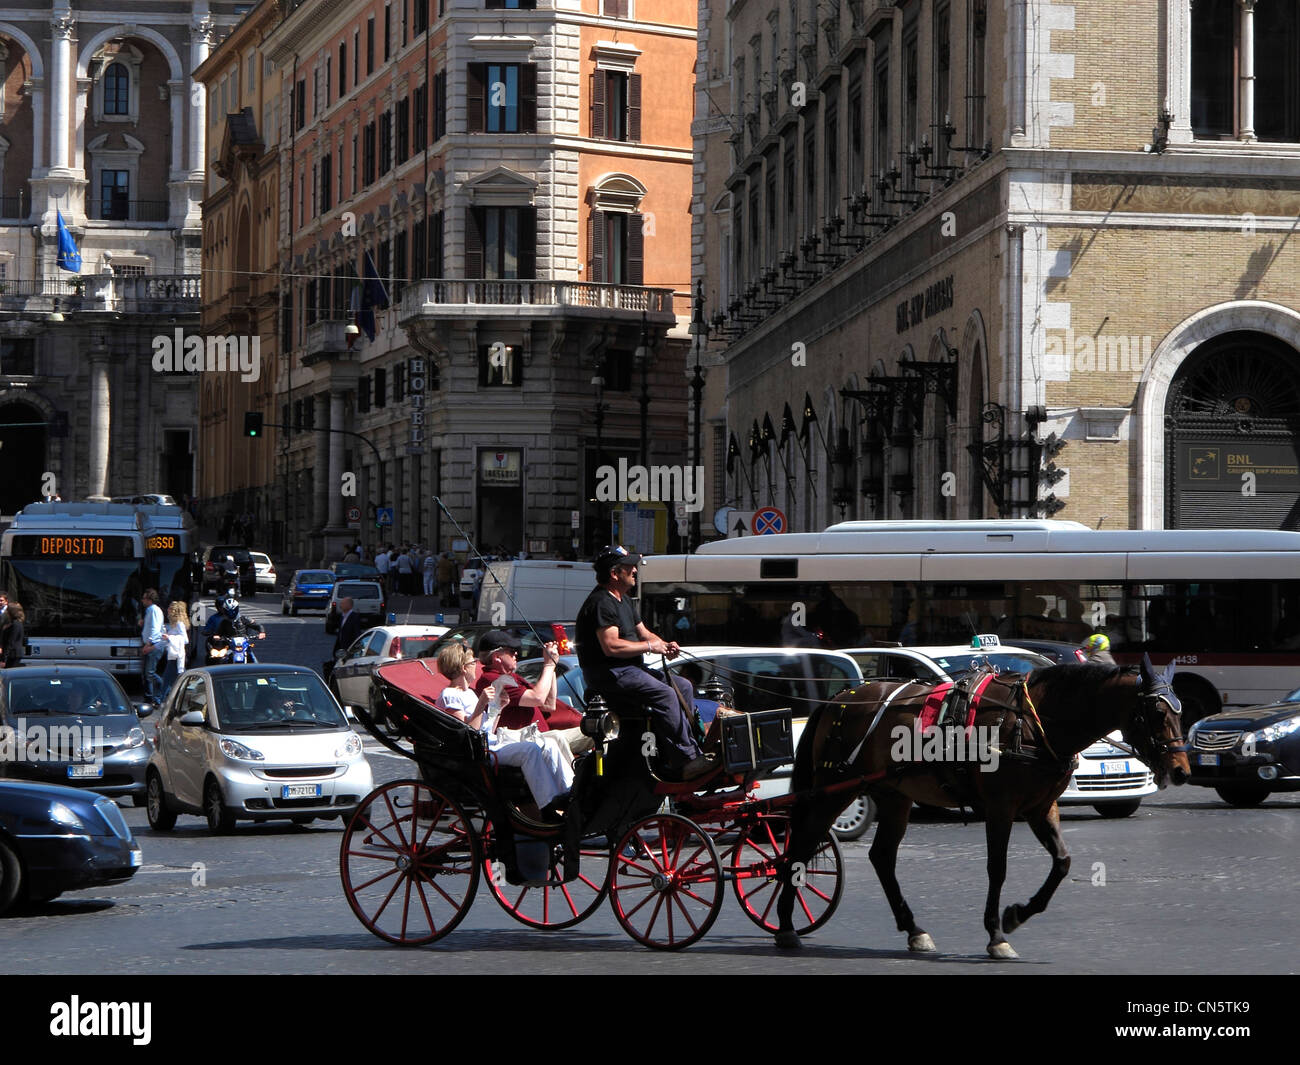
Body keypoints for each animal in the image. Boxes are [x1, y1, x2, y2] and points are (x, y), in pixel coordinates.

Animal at [769, 652, 1190, 962]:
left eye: (1180, 711)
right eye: (1157, 714)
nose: (1182, 770)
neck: (1035, 721)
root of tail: (840, 699)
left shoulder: (1041, 808)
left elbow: (1062, 863)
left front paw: (1017, 914)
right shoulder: (1000, 808)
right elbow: (997, 869)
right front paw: (997, 934)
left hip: (894, 794)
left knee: (881, 857)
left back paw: (913, 929)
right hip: (834, 790)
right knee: (800, 847)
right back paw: (787, 925)